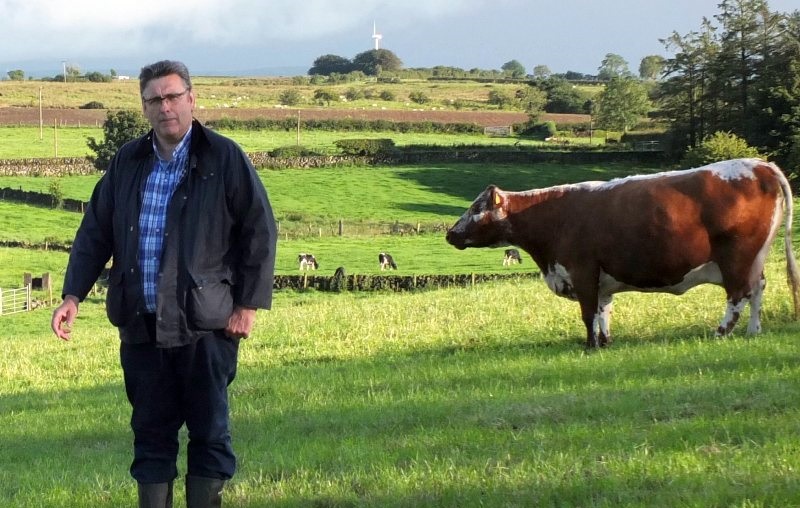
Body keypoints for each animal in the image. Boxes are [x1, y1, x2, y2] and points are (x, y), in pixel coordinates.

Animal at [444, 159, 800, 350]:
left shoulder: (582, 271)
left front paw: (589, 346)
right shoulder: (601, 279)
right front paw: (604, 342)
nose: (450, 233)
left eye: (476, 208)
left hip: (736, 258)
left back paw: (721, 332)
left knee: (738, 295)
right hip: (755, 259)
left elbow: (588, 313)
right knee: (758, 289)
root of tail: (760, 165)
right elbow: (604, 311)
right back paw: (754, 331)